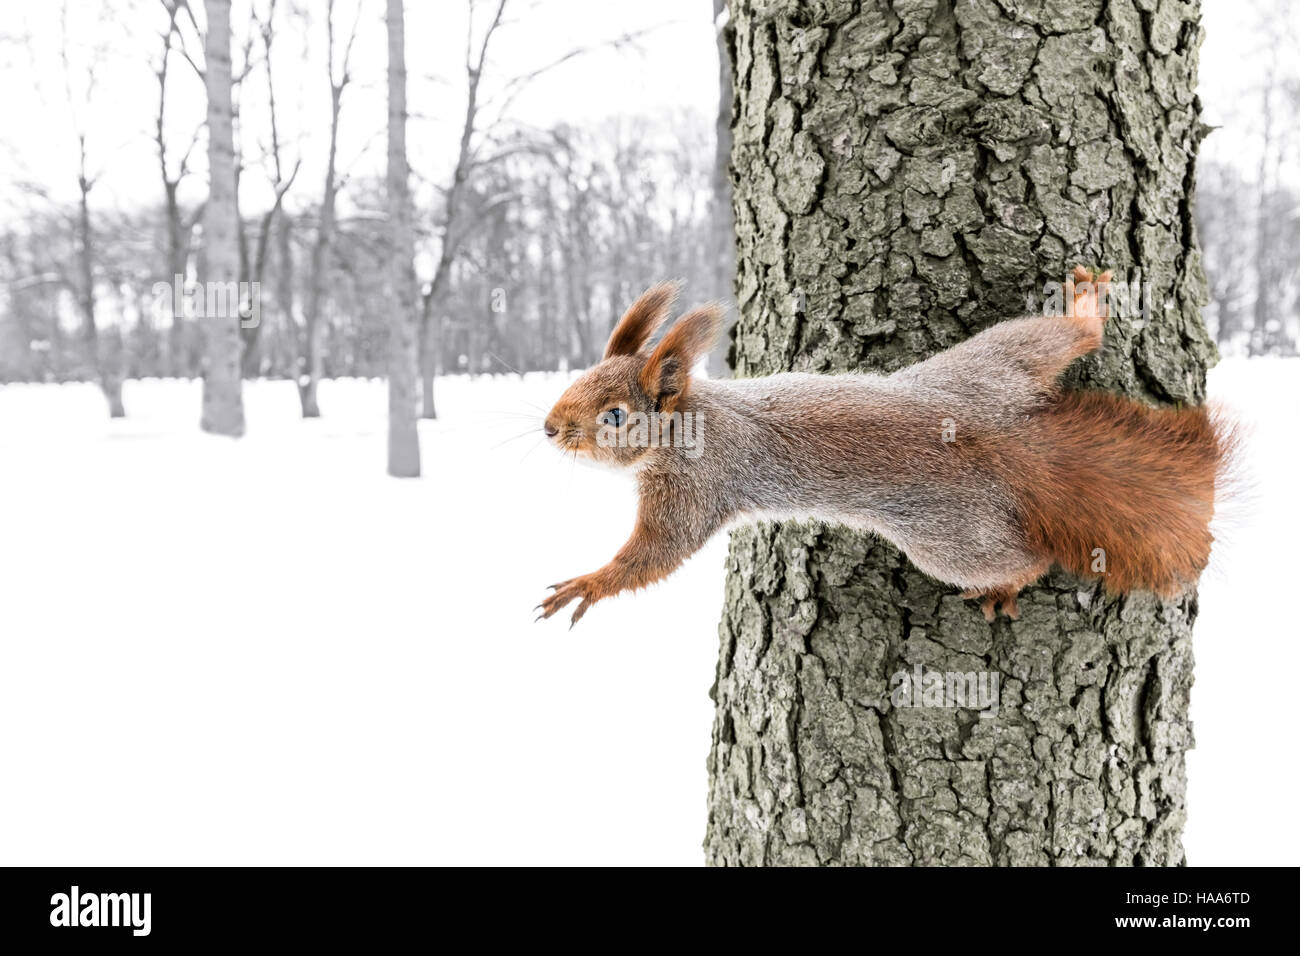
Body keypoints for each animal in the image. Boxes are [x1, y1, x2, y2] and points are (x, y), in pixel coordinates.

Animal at [533, 269, 1232, 629]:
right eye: (580, 378)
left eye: (615, 416)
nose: (549, 428)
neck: (697, 420)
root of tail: (1006, 441)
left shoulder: (694, 488)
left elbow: (656, 554)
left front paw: (590, 583)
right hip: (995, 362)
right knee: (1064, 337)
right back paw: (1085, 309)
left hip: (950, 539)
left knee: (1023, 559)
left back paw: (1007, 585)